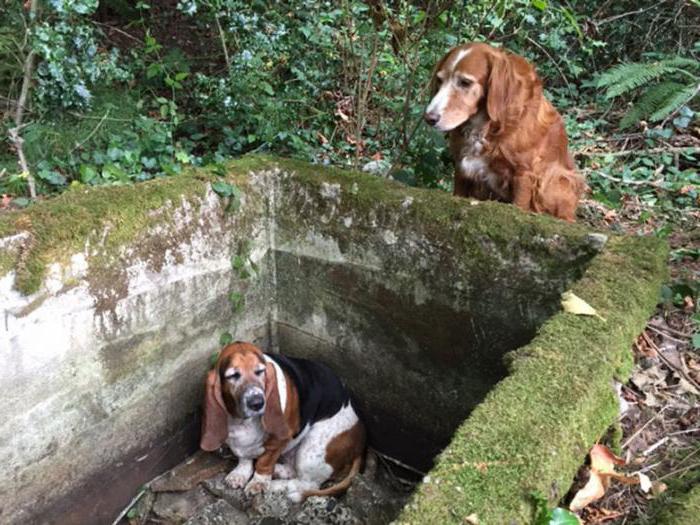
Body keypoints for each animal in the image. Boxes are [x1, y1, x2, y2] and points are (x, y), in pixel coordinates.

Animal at [200, 342, 364, 502]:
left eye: (260, 371)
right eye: (233, 375)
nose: (257, 403)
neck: (243, 421)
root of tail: (360, 445)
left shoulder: (278, 441)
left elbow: (264, 462)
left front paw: (259, 483)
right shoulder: (239, 443)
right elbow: (244, 458)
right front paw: (240, 474)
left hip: (311, 449)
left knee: (307, 484)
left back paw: (275, 485)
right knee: (293, 472)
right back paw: (278, 471)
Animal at [424, 42, 584, 220]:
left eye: (465, 82)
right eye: (440, 80)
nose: (429, 118)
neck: (488, 127)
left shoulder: (524, 174)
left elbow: (519, 206)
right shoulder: (461, 168)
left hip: (559, 180)